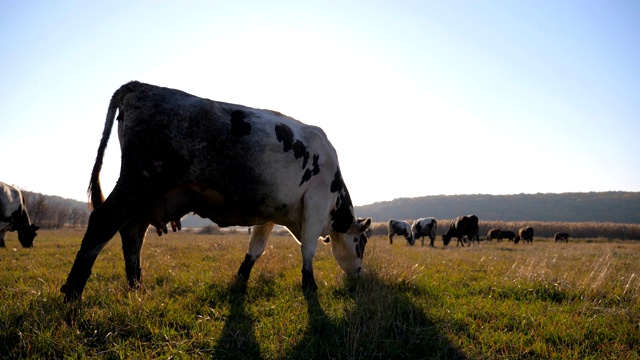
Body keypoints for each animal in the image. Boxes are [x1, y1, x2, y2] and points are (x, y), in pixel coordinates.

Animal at [61, 80, 370, 302]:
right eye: (361, 243)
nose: (359, 275)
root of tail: (140, 85)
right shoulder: (316, 204)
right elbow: (308, 248)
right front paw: (310, 286)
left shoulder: (271, 211)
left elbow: (256, 248)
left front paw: (240, 280)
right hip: (138, 181)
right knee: (103, 222)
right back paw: (73, 293)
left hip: (143, 194)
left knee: (133, 234)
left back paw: (136, 288)